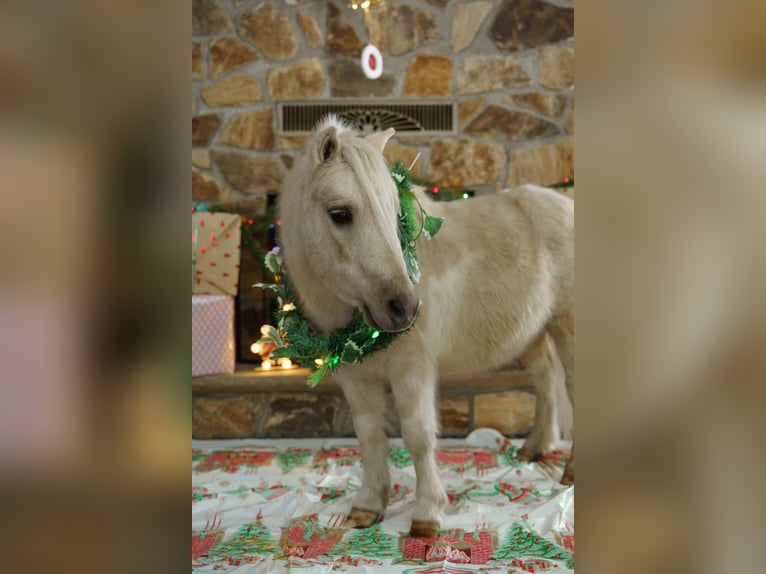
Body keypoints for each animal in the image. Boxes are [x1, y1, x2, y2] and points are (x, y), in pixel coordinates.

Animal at [277, 116, 574, 538]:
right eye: (340, 213)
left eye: (393, 212)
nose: (405, 307)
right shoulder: (356, 377)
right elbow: (370, 437)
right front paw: (368, 507)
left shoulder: (412, 370)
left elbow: (418, 437)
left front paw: (427, 515)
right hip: (533, 332)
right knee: (546, 379)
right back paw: (536, 446)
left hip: (568, 326)